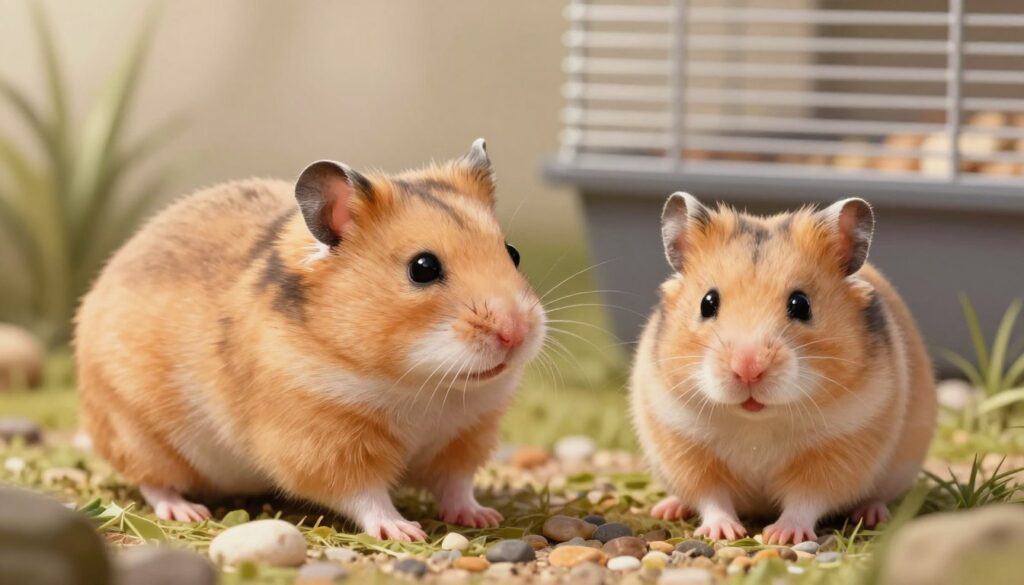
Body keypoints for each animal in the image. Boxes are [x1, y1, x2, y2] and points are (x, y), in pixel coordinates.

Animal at [75, 139, 546, 541]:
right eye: (423, 268)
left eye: (514, 253)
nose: (517, 332)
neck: (425, 387)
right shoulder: (323, 444)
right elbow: (366, 495)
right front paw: (403, 531)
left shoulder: (465, 435)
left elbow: (457, 485)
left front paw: (484, 516)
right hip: (138, 433)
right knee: (153, 482)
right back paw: (186, 511)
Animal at [630, 193, 936, 544]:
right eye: (707, 303)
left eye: (801, 304)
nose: (748, 369)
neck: (758, 421)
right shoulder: (683, 443)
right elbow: (712, 496)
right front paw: (723, 533)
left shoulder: (841, 447)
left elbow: (806, 499)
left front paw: (782, 536)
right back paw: (667, 508)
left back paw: (872, 514)